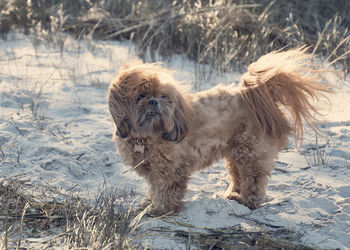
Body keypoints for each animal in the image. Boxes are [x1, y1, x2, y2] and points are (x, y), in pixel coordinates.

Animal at [106, 48, 330, 215]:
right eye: (140, 96)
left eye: (163, 96)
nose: (153, 102)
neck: (146, 136)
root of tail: (253, 97)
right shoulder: (154, 170)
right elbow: (154, 187)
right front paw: (149, 202)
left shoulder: (170, 170)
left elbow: (166, 190)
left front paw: (161, 208)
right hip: (237, 152)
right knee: (239, 175)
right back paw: (234, 194)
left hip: (251, 152)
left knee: (254, 179)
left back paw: (248, 200)